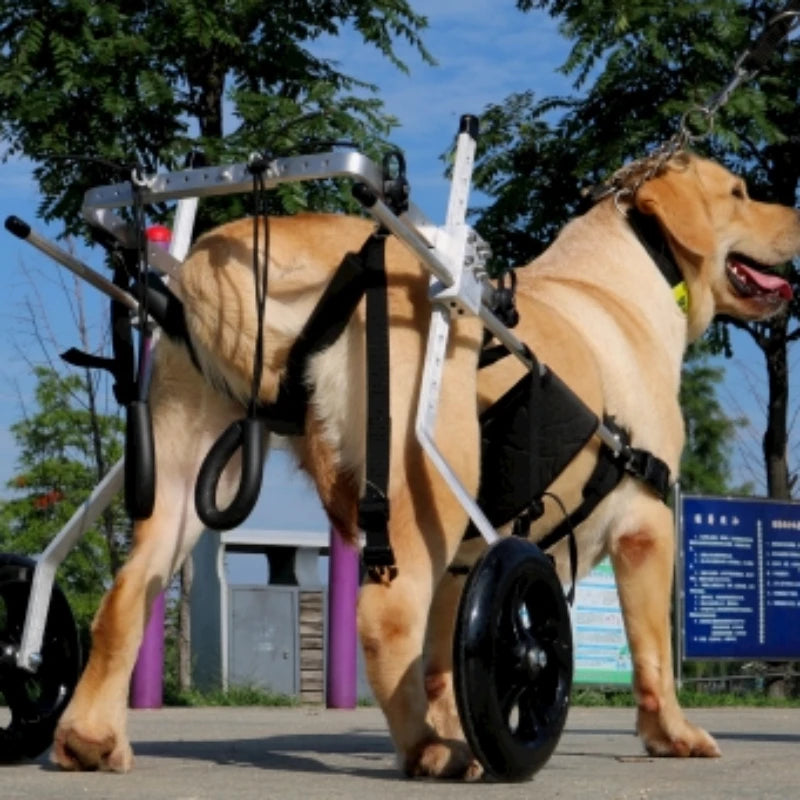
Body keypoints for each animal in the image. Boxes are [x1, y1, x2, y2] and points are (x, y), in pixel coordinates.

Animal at [53, 153, 796, 780]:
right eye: (739, 193)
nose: (794, 210)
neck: (631, 275)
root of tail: (259, 250)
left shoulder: (464, 553)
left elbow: (440, 657)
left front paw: (448, 714)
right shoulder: (645, 525)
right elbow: (654, 656)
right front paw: (673, 735)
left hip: (183, 470)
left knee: (124, 597)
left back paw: (88, 737)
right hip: (429, 473)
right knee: (384, 616)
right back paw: (429, 751)